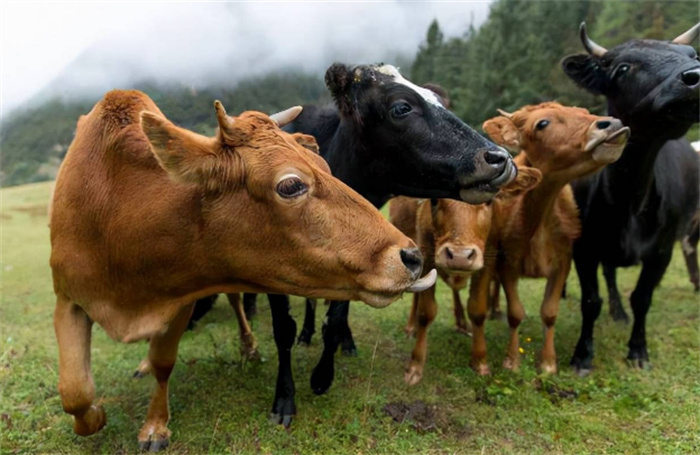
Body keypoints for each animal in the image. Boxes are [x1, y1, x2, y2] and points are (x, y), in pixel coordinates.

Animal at [468, 101, 632, 376]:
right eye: (542, 123)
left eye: (583, 111)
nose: (611, 123)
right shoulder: (507, 263)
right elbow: (516, 313)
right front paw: (512, 360)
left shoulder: (563, 262)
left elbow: (550, 312)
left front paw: (547, 362)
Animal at [564, 23, 700, 376]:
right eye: (623, 68)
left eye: (693, 54)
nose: (695, 75)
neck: (627, 201)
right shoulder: (584, 247)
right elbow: (591, 301)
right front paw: (582, 355)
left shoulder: (661, 250)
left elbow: (642, 298)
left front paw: (638, 350)